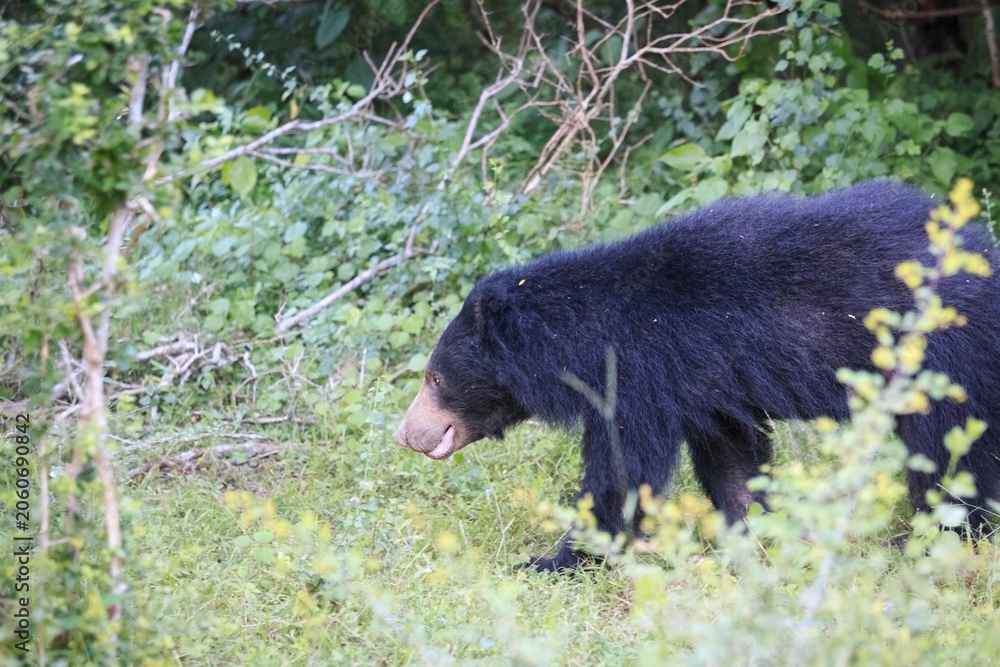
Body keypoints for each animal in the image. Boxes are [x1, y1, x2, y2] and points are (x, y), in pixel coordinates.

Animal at [394, 180, 1000, 572]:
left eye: (434, 379)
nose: (405, 434)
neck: (586, 335)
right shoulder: (704, 389)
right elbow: (732, 461)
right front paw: (757, 536)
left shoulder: (638, 375)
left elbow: (621, 473)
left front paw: (551, 561)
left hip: (943, 362)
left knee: (949, 461)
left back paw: (938, 542)